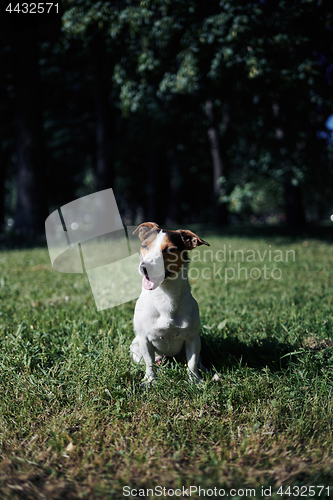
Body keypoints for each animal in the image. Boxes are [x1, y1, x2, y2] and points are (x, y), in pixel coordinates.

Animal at [129, 222, 208, 386]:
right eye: (144, 246)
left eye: (169, 250)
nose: (144, 267)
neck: (164, 295)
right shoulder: (144, 339)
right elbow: (149, 363)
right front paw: (150, 380)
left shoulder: (192, 338)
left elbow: (192, 363)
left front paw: (195, 381)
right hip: (135, 345)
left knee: (198, 360)